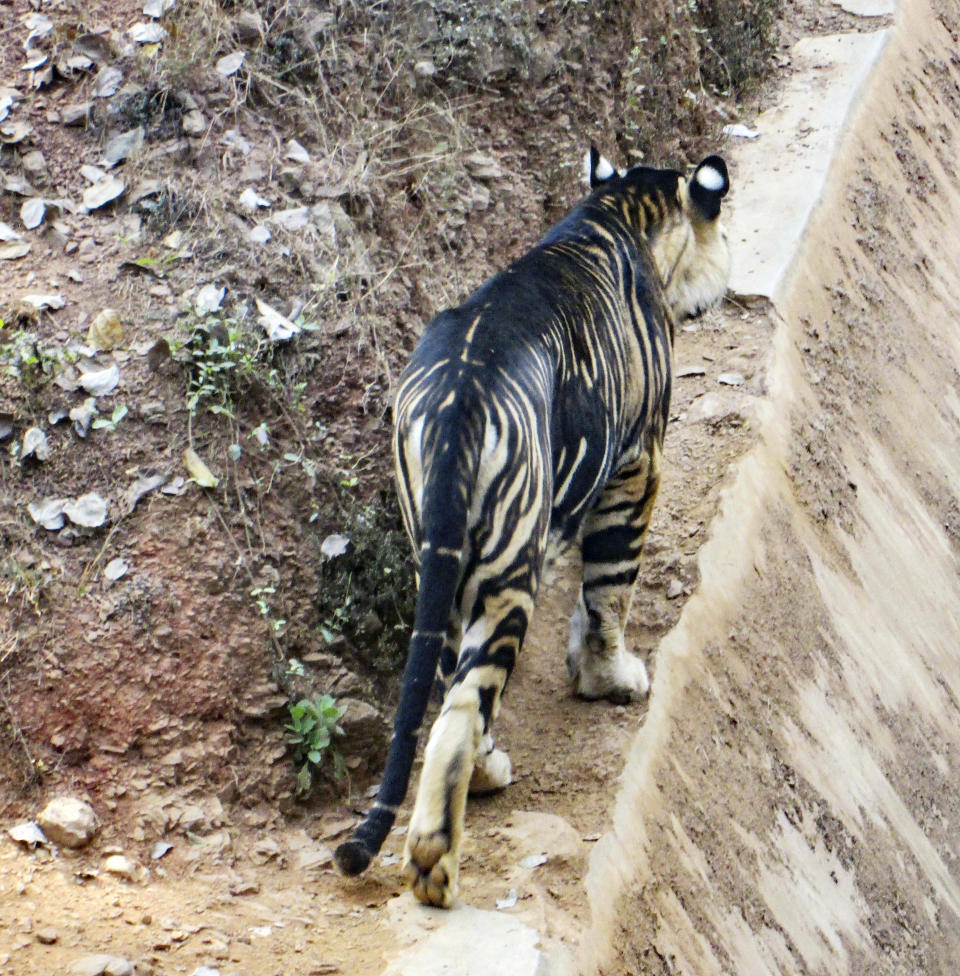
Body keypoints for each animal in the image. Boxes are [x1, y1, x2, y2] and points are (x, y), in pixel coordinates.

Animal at [334, 147, 732, 908]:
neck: (617, 208)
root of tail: (457, 400)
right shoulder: (638, 463)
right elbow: (611, 588)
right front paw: (610, 677)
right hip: (507, 570)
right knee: (463, 706)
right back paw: (435, 863)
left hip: (446, 562)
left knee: (453, 686)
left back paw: (483, 779)